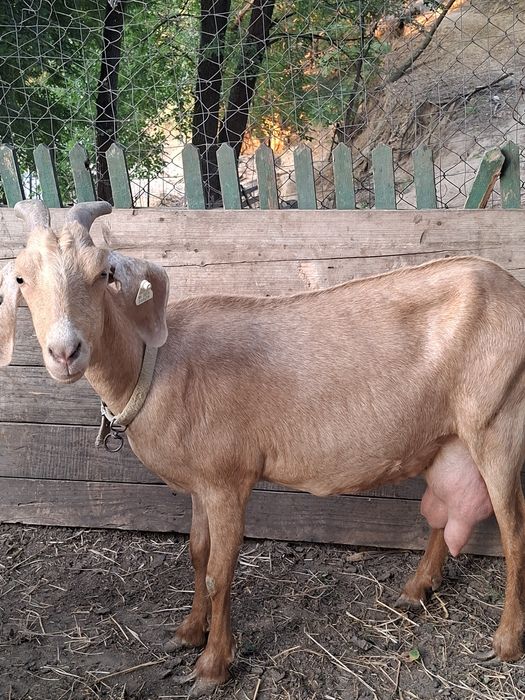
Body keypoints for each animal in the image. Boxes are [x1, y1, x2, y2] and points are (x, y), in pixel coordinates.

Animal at [2, 199, 525, 695]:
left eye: (102, 273)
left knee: (513, 528)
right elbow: (197, 553)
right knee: (443, 509)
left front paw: (212, 666)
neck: (159, 366)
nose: (65, 352)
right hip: (446, 436)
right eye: (22, 277)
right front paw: (187, 633)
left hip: (498, 423)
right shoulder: (202, 484)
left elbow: (220, 571)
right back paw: (416, 589)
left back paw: (504, 642)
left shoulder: (228, 481)